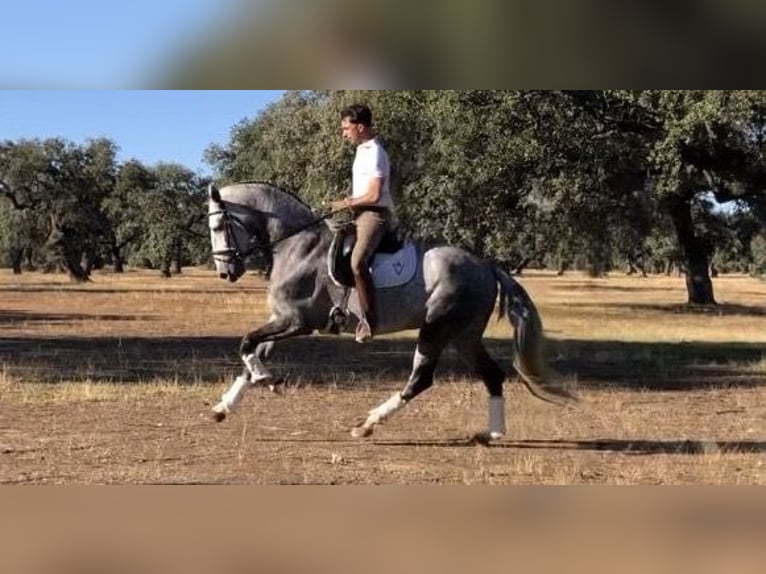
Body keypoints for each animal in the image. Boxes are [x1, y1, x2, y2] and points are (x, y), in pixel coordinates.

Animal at [204, 182, 576, 438]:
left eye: (218, 227)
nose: (225, 272)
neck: (299, 246)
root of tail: (486, 266)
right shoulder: (280, 320)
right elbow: (251, 354)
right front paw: (224, 406)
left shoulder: (296, 322)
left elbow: (247, 344)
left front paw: (267, 380)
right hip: (463, 336)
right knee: (492, 376)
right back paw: (494, 433)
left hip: (436, 328)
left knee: (421, 379)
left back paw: (368, 423)